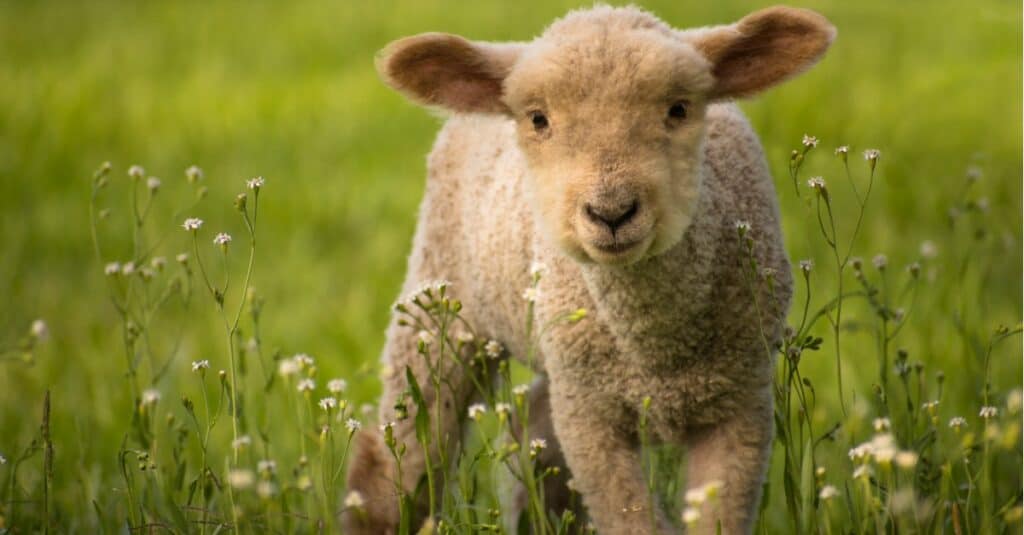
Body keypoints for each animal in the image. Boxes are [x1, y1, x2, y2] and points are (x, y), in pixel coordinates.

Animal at [344, 5, 831, 532]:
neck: (655, 353)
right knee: (401, 452)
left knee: (537, 432)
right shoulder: (591, 421)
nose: (611, 212)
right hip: (442, 299)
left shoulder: (741, 405)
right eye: (538, 119)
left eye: (679, 109)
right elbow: (631, 521)